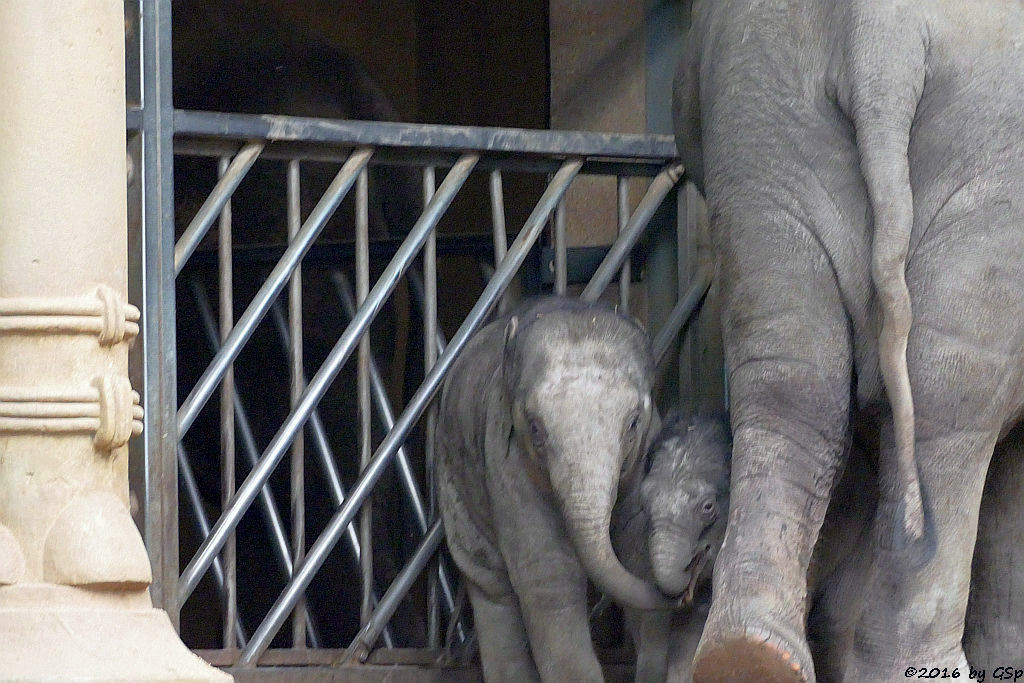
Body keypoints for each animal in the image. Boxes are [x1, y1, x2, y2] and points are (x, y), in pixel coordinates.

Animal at [434, 296, 667, 683]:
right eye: (534, 428)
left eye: (633, 423)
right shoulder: (507, 465)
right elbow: (550, 575)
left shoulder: (648, 451)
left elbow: (640, 553)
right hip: (452, 483)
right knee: (491, 586)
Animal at [671, 2, 1024, 679]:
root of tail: (881, 34)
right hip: (996, 166)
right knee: (948, 403)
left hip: (763, 124)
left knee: (790, 379)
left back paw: (749, 654)